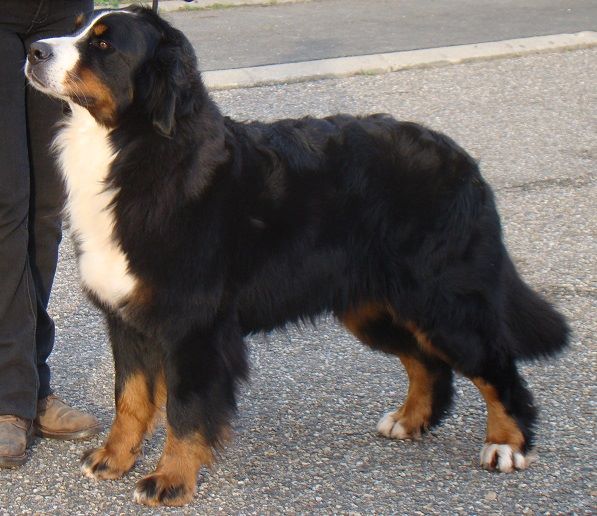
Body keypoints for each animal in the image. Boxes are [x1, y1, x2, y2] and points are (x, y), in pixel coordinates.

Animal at [25, 6, 568, 506]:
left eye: (103, 45)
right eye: (78, 27)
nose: (33, 50)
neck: (134, 150)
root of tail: (464, 159)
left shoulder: (193, 326)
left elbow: (185, 410)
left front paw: (170, 480)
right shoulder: (126, 316)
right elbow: (131, 399)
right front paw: (113, 459)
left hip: (443, 299)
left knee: (495, 365)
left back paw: (506, 445)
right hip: (374, 307)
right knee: (429, 365)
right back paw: (409, 420)